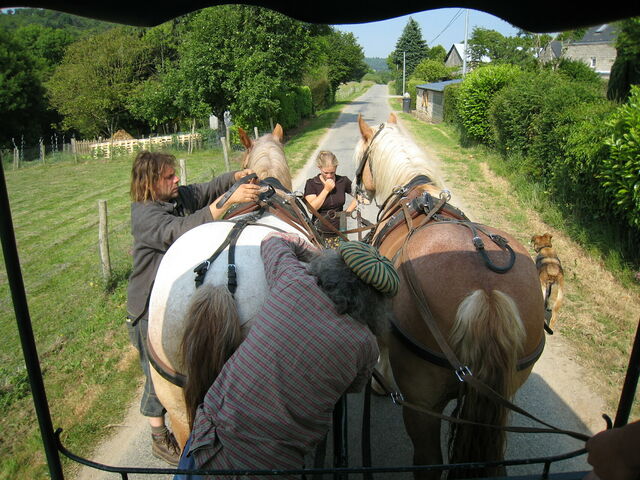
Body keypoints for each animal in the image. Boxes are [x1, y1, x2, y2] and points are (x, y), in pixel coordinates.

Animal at [354, 113, 545, 478]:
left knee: (428, 462)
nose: (358, 194)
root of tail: (488, 292)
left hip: (422, 404)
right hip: (501, 396)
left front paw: (378, 384)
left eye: (360, 155)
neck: (414, 195)